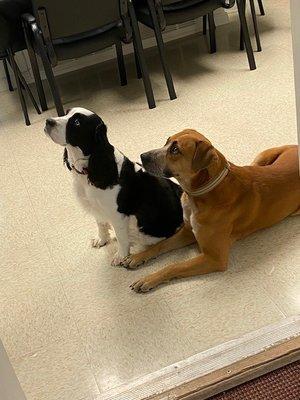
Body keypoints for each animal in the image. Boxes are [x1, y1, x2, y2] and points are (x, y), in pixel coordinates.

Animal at [43, 108, 182, 268]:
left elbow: (121, 236)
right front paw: (101, 240)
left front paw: (120, 256)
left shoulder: (117, 214)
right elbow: (101, 224)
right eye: (66, 113)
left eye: (77, 122)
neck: (89, 169)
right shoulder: (97, 206)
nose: (48, 121)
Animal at [120, 130, 300, 292]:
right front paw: (137, 257)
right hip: (261, 157)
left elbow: (174, 266)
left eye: (175, 150)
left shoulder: (214, 258)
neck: (202, 193)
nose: (143, 156)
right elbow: (160, 245)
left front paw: (148, 279)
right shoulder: (187, 231)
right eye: (167, 141)